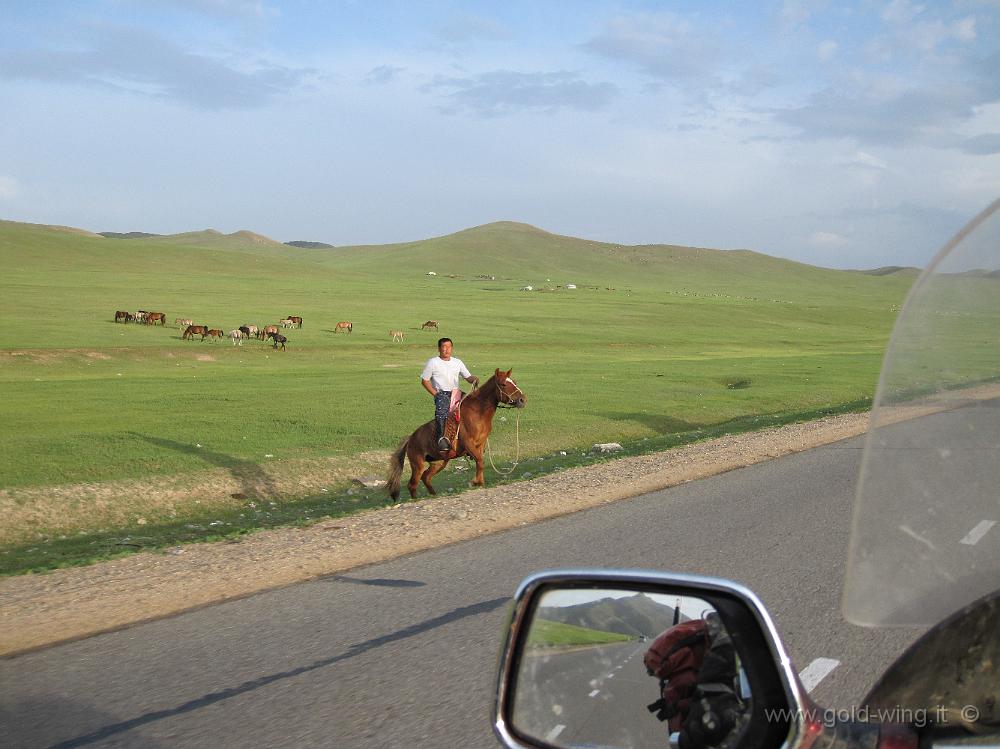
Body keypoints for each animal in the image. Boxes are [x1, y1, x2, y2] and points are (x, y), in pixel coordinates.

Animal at [386, 366, 528, 500]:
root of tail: (410, 439)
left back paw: (434, 495)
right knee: (412, 484)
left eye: (514, 382)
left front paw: (480, 482)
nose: (523, 400)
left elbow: (480, 462)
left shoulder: (480, 444)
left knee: (426, 477)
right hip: (417, 464)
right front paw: (475, 482)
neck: (478, 412)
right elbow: (480, 461)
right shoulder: (468, 443)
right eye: (503, 384)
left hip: (439, 462)